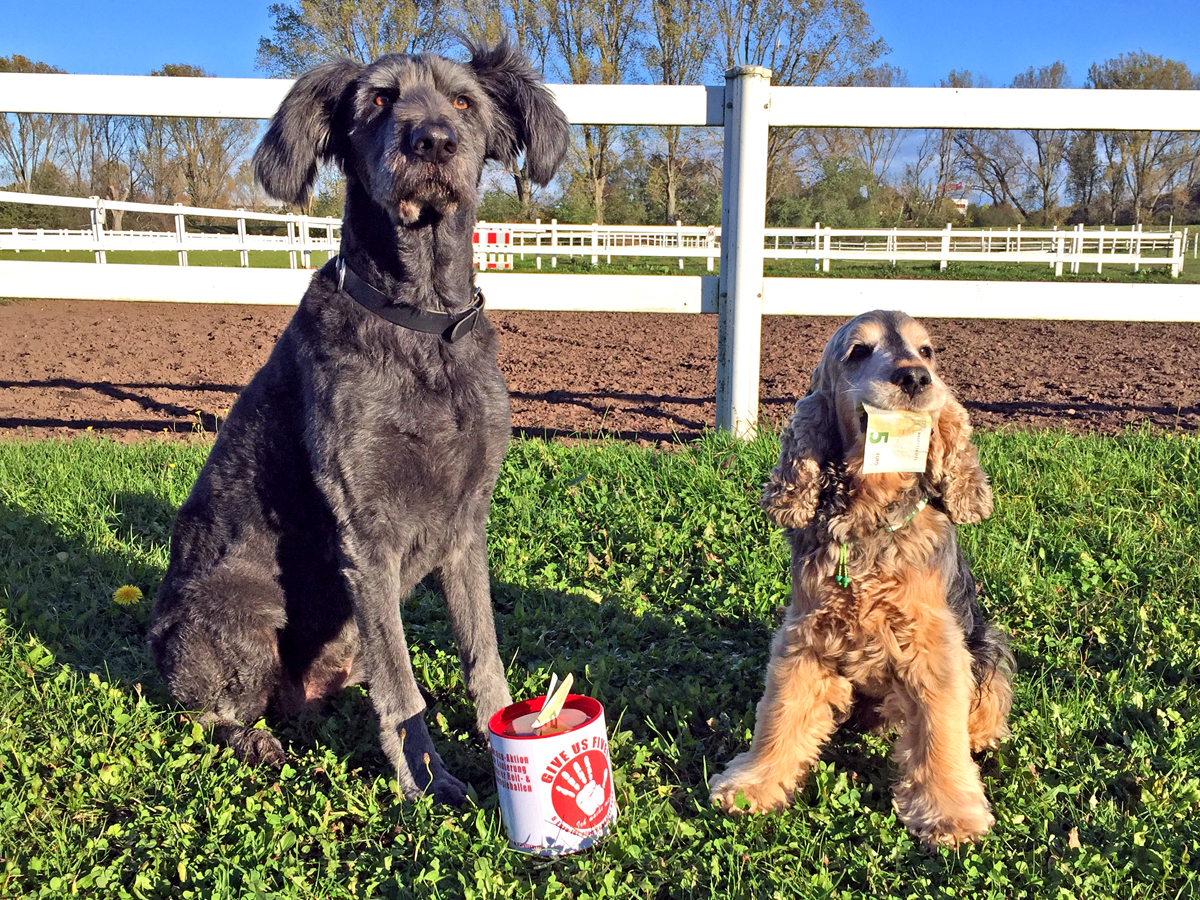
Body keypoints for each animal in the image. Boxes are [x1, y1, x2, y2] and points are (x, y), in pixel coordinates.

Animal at [148, 40, 571, 801]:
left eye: (464, 100)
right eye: (378, 100)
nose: (432, 141)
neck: (423, 326)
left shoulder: (466, 525)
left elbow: (483, 655)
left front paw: (509, 740)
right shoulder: (366, 533)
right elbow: (403, 690)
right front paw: (428, 782)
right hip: (236, 619)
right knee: (209, 712)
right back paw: (255, 740)